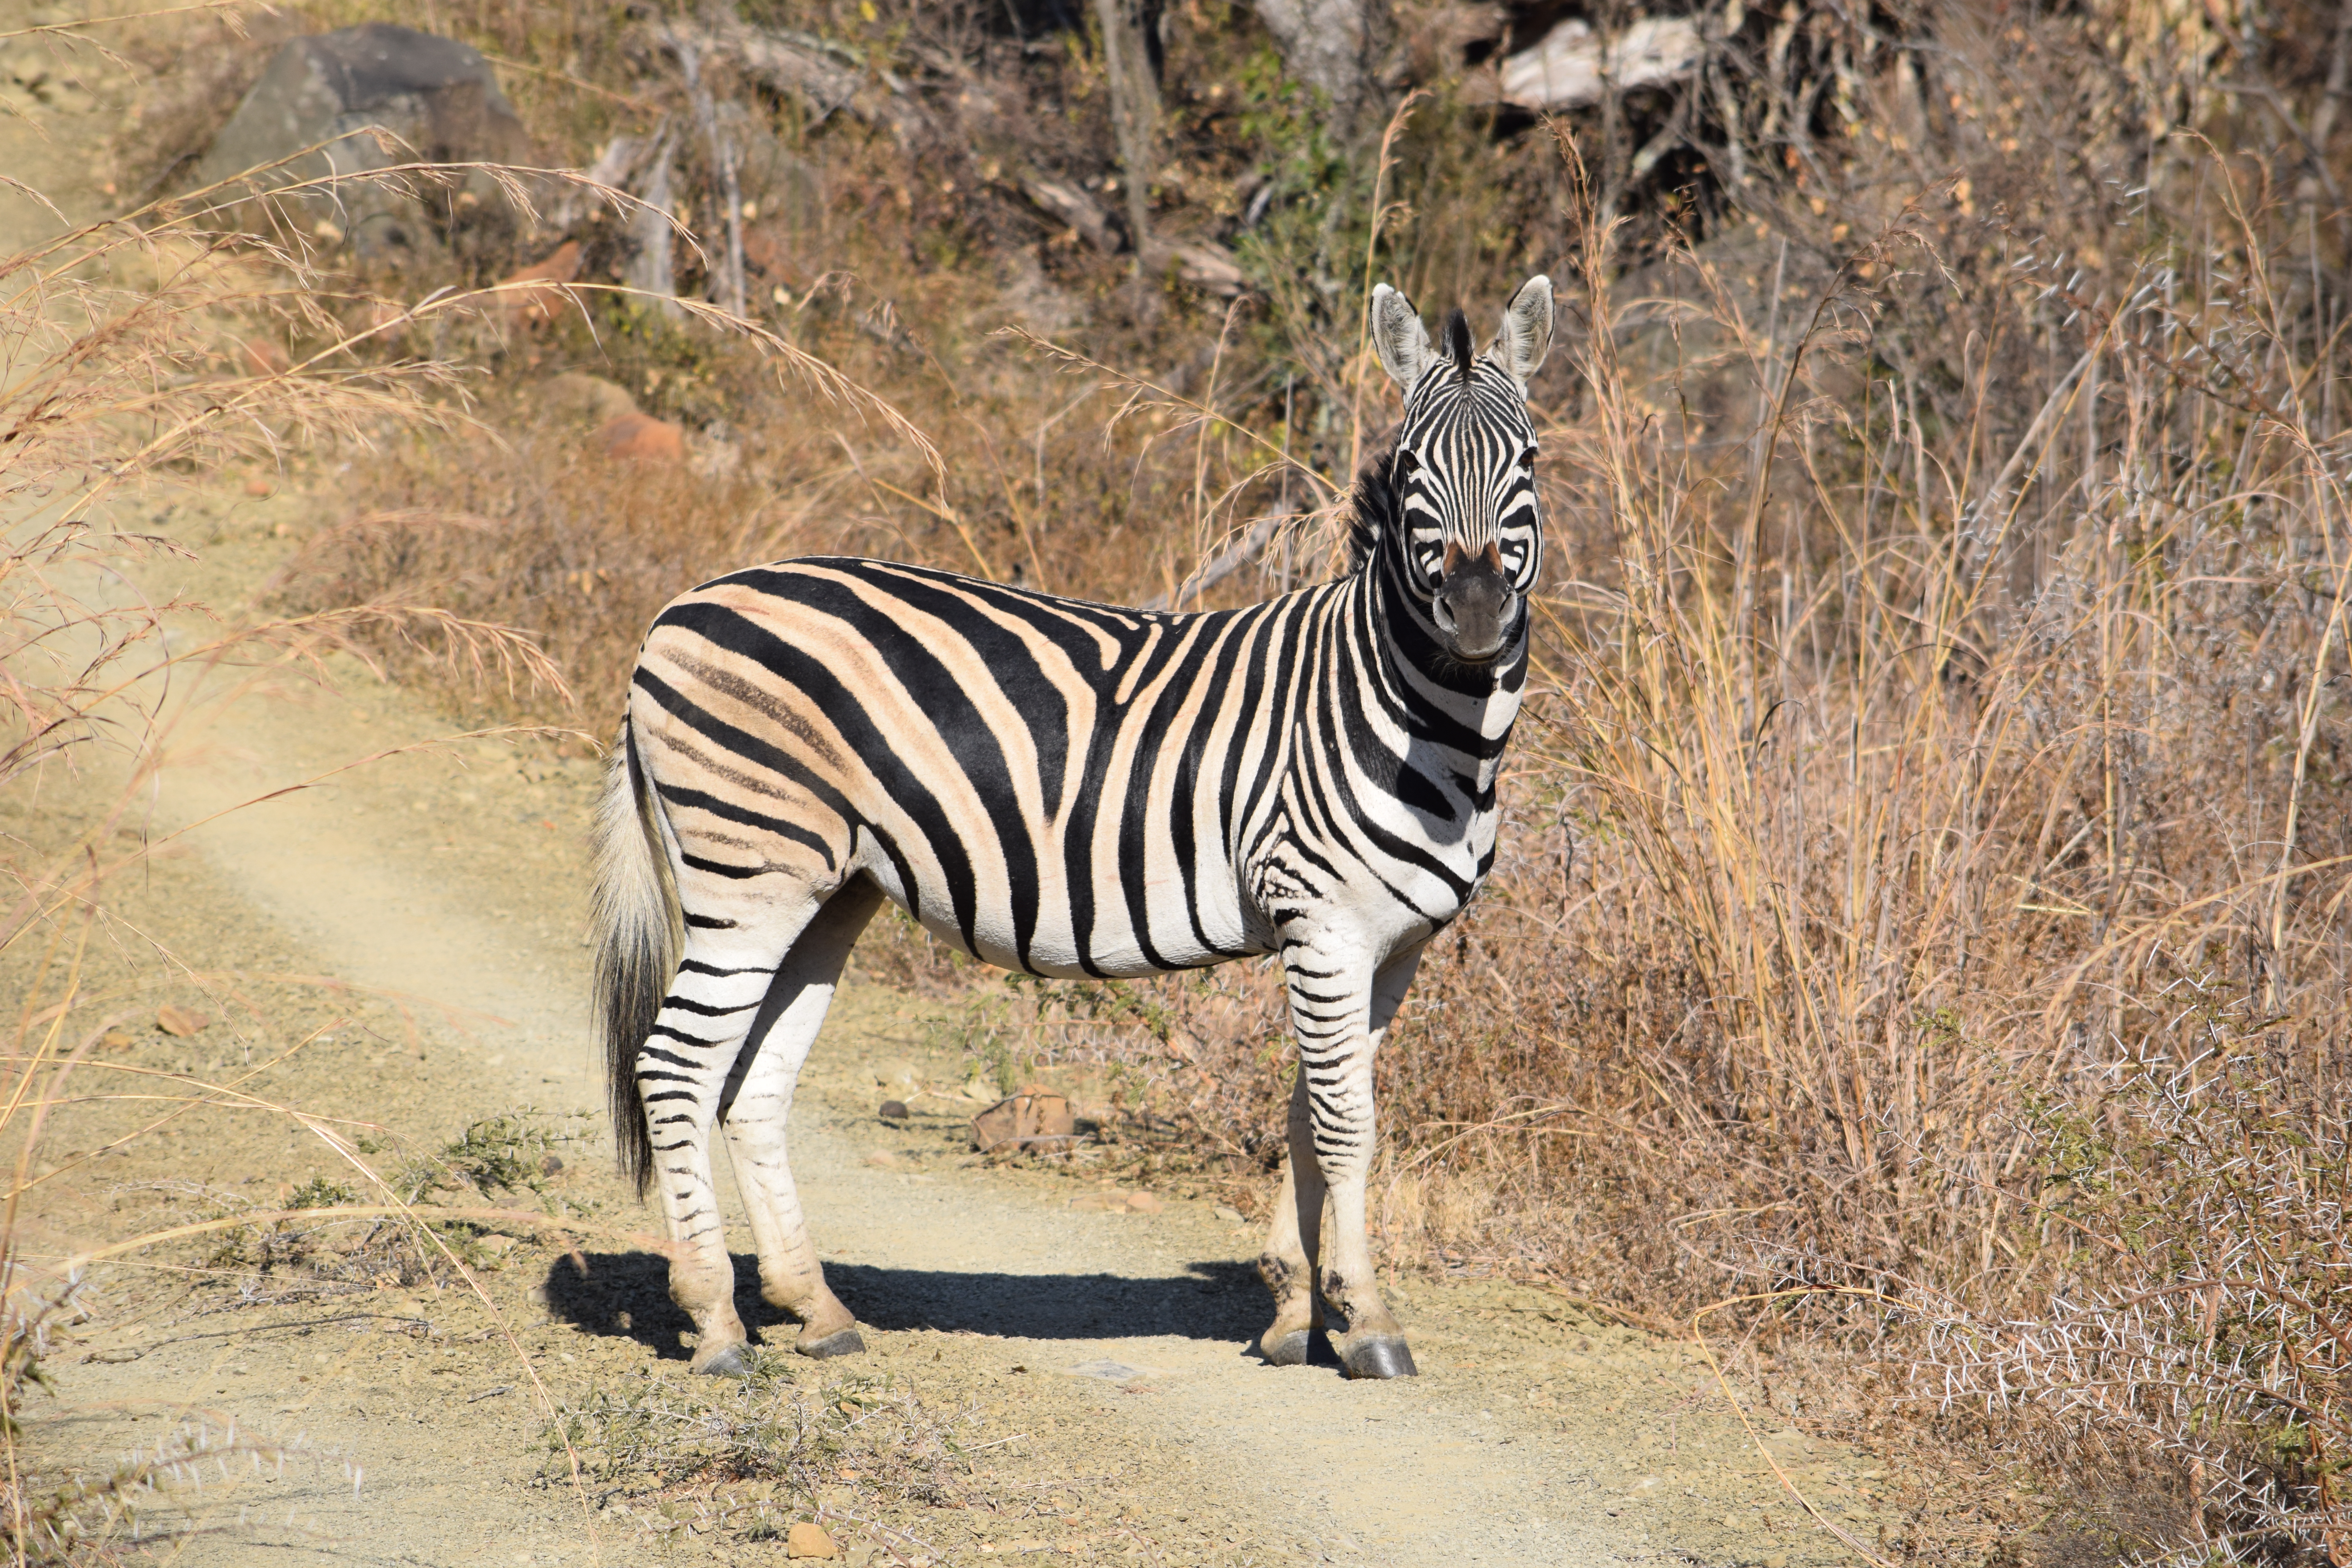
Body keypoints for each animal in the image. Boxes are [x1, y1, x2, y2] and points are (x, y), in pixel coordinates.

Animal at [583, 276, 1543, 1382]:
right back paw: (717, 1324)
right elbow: (1347, 1122)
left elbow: (1309, 1113)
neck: (1404, 708)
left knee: (752, 1082)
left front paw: (1295, 1316)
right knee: (675, 1065)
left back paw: (815, 1309)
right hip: (751, 870)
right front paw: (1369, 1323)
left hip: (828, 889)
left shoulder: (1391, 946)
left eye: (1528, 462)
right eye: (1415, 469)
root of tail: (676, 610)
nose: (1475, 615)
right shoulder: (1325, 922)